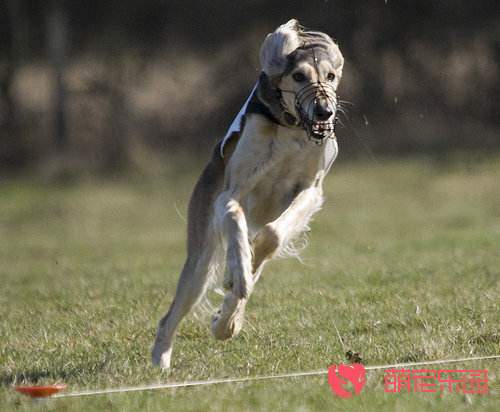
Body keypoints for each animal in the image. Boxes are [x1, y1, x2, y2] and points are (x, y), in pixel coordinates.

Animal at [153, 19, 344, 368]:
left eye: (330, 76)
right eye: (299, 76)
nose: (324, 112)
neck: (290, 127)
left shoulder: (310, 190)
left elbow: (271, 237)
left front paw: (238, 280)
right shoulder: (230, 193)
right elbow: (234, 220)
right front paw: (237, 272)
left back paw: (227, 320)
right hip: (199, 259)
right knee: (172, 314)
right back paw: (162, 359)